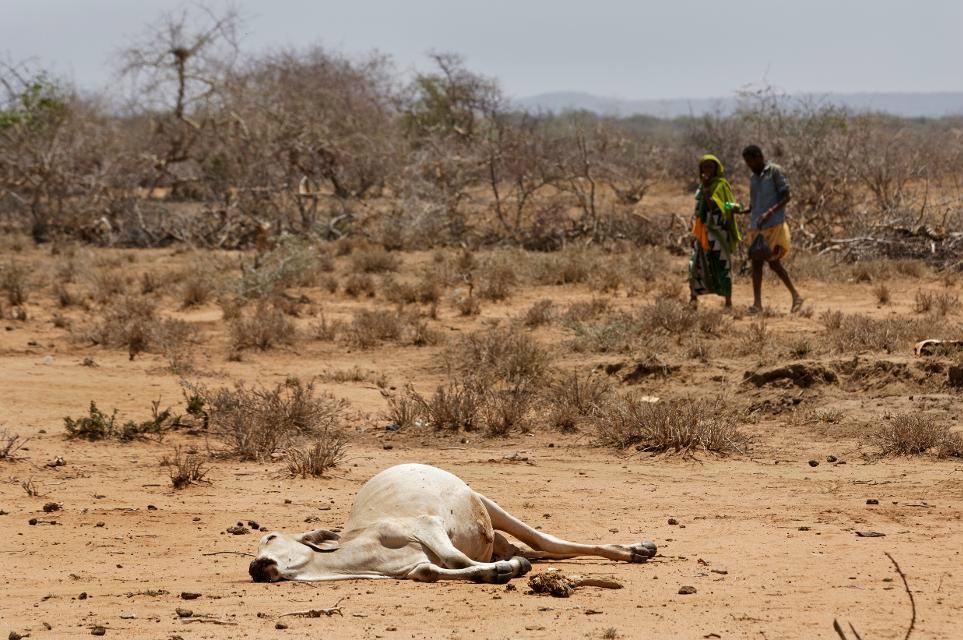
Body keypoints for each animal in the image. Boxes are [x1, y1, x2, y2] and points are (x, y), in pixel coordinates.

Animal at [249, 462, 660, 584]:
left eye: (269, 537)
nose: (256, 568)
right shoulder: (417, 570)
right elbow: (438, 571)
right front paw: (499, 570)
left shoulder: (427, 527)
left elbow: (456, 559)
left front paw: (509, 568)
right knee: (538, 550)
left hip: (485, 503)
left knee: (546, 542)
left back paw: (638, 550)